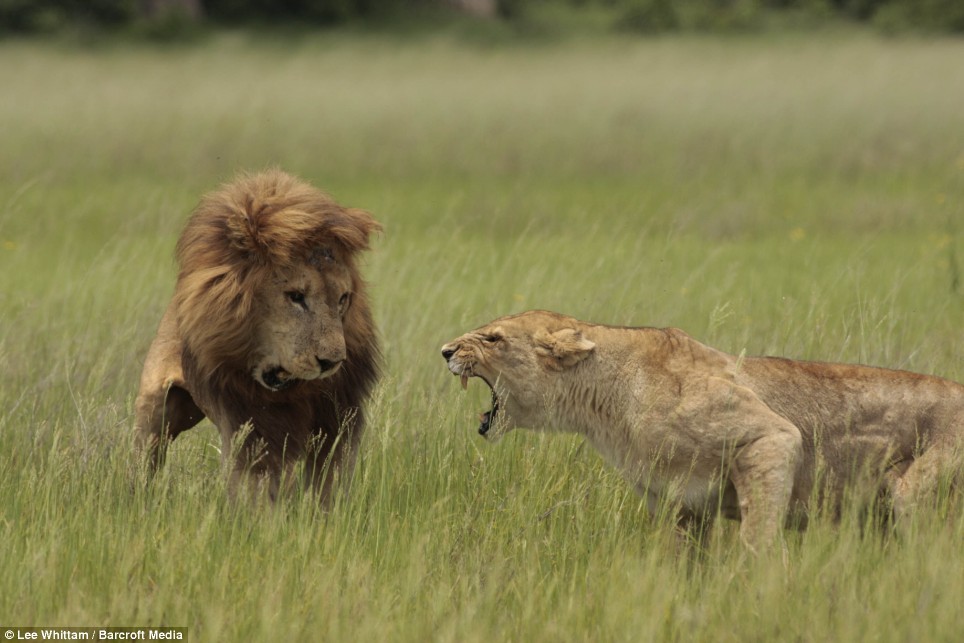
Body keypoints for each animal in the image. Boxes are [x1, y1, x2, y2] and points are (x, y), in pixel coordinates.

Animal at [135, 171, 380, 504]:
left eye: (343, 299)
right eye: (295, 296)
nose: (331, 362)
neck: (292, 392)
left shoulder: (335, 423)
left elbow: (327, 485)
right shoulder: (251, 426)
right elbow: (257, 490)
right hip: (154, 410)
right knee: (145, 459)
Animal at [442, 310, 964, 552]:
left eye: (492, 338)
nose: (445, 350)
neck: (602, 404)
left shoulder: (772, 436)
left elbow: (758, 534)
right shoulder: (680, 505)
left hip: (913, 495)